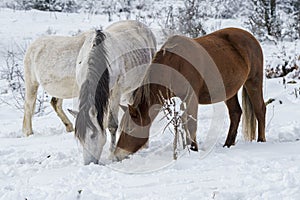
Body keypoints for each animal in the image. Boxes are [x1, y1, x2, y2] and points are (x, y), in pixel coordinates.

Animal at [113, 27, 266, 160]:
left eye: (130, 129)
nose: (117, 155)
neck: (175, 64)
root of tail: (250, 37)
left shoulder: (191, 97)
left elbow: (191, 124)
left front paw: (193, 150)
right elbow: (185, 124)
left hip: (253, 81)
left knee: (260, 109)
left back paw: (261, 140)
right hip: (229, 91)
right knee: (235, 113)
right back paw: (228, 144)